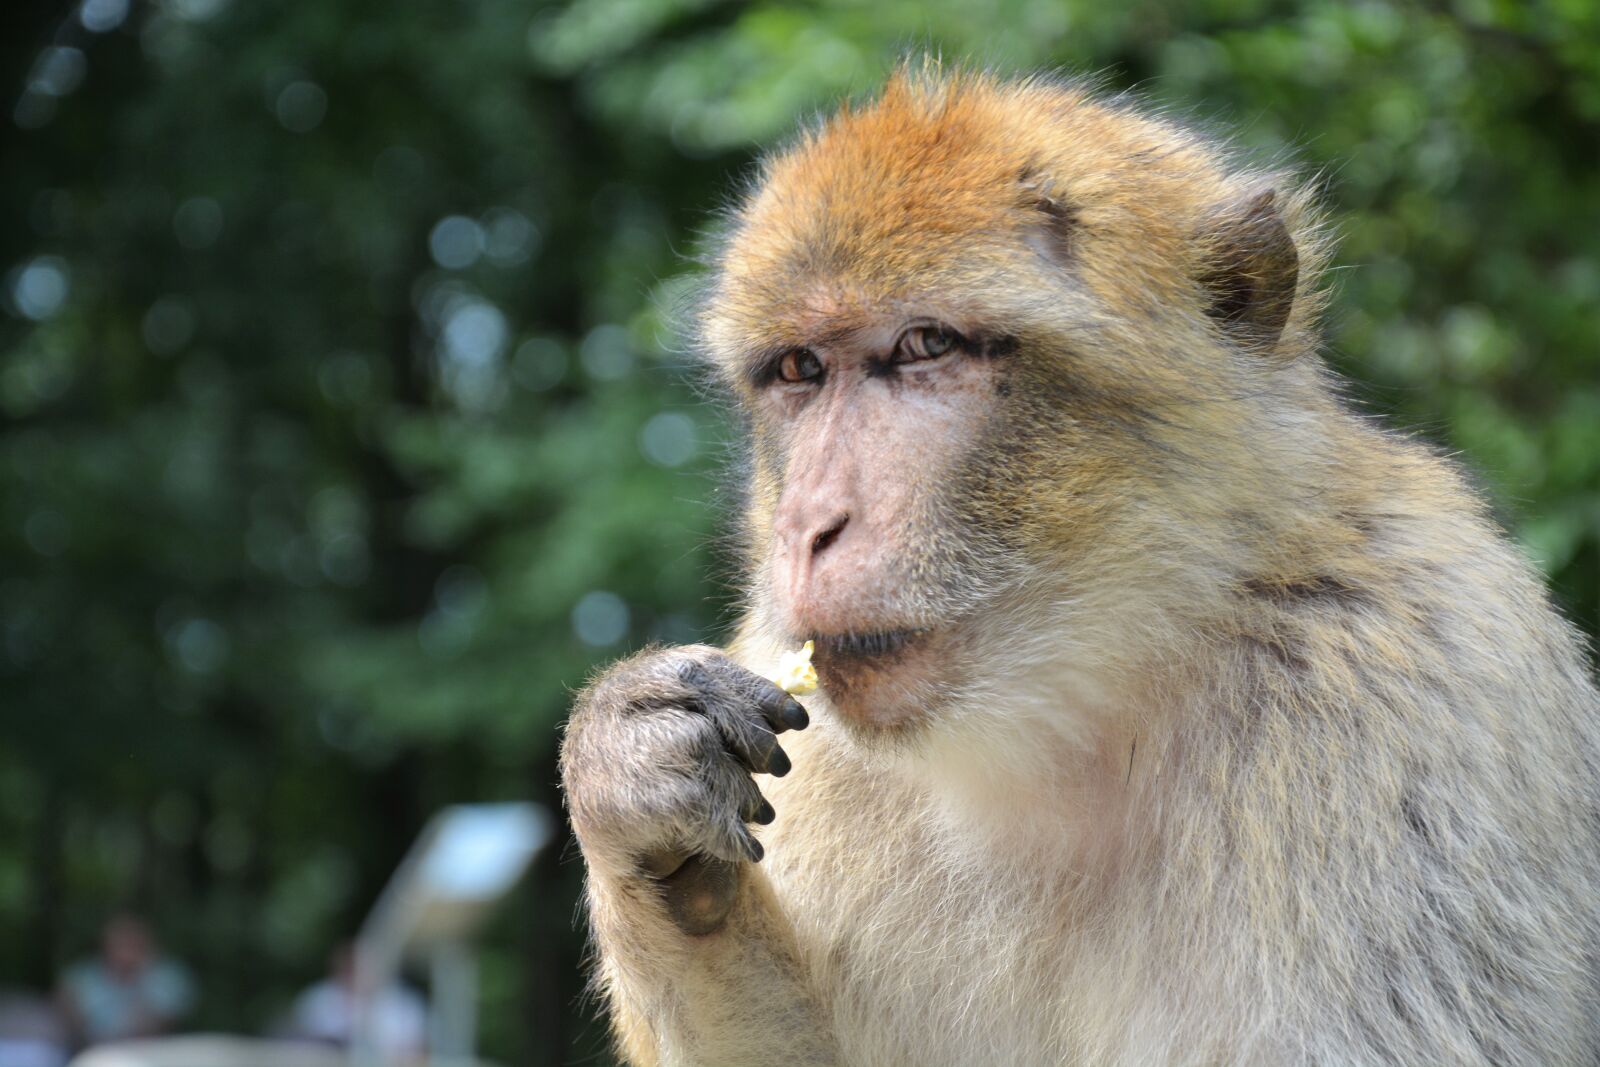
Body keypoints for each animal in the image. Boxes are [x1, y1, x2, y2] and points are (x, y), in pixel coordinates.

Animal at [558, 64, 1600, 1066]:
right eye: (800, 370)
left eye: (926, 345)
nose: (811, 523)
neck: (1082, 707)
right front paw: (632, 781)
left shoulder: (1395, 700)